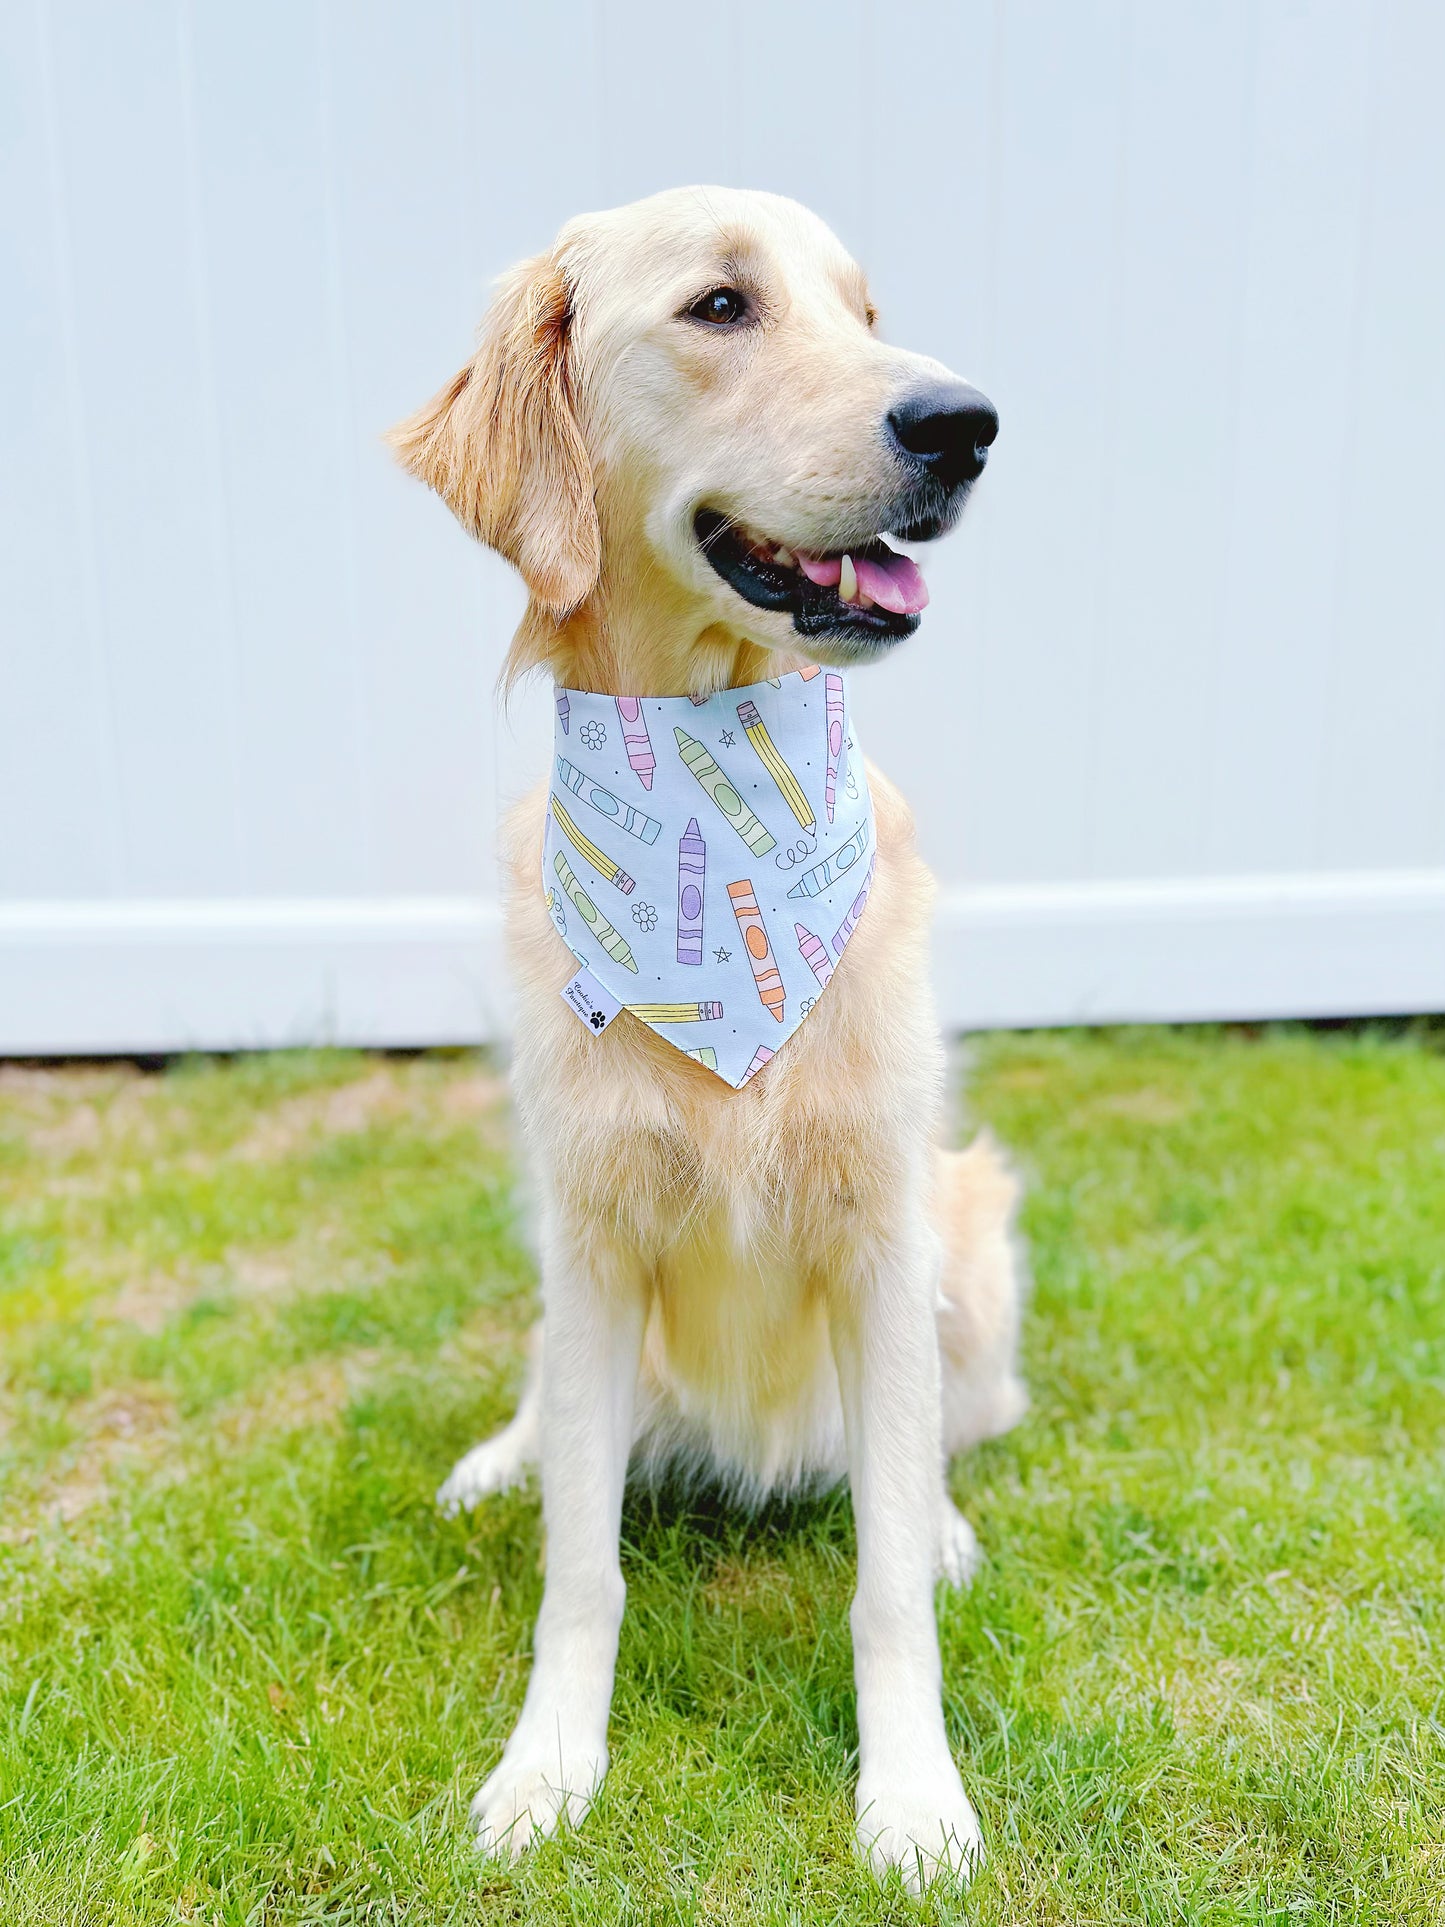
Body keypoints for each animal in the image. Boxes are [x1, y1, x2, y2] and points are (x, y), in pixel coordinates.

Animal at [393, 187, 1032, 1888]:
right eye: (721, 306)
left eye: (868, 312)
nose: (964, 423)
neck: (706, 766)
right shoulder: (595, 1238)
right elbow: (581, 1572)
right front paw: (547, 1768)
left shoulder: (881, 1233)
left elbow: (884, 1574)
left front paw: (914, 1796)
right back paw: (499, 1458)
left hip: (970, 1231)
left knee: (945, 1435)